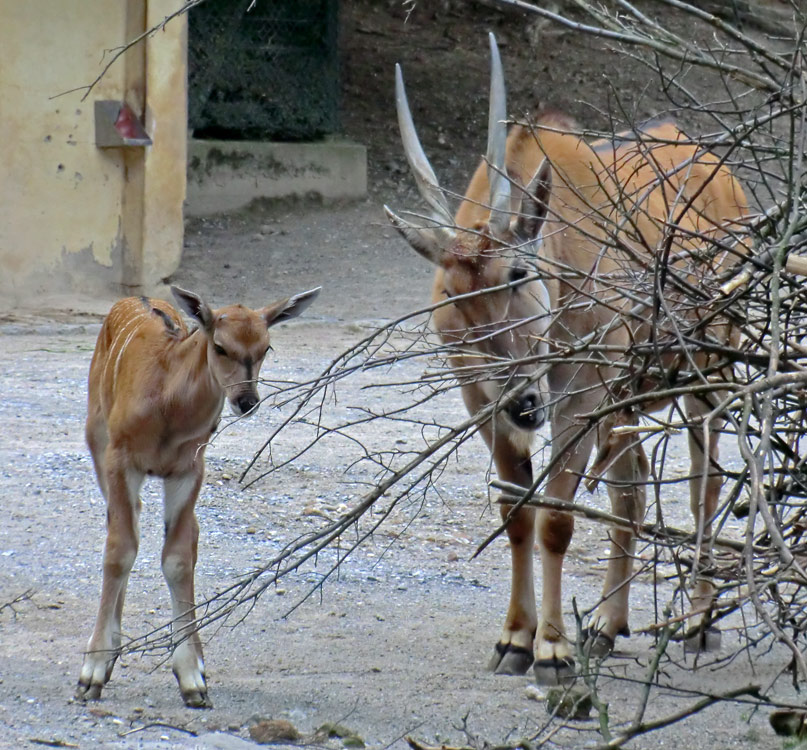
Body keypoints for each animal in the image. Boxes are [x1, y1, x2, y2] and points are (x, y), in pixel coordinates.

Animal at [77, 284, 320, 708]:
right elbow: (119, 552)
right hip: (97, 437)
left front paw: (192, 678)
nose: (247, 401)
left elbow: (177, 559)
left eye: (266, 347)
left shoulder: (190, 468)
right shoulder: (121, 458)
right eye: (219, 346)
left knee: (187, 535)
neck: (167, 410)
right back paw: (109, 658)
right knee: (121, 528)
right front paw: (90, 673)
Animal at [386, 33, 752, 680]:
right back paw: (607, 626)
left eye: (517, 272)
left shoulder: (578, 392)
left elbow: (555, 517)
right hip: (628, 397)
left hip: (707, 368)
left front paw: (551, 651)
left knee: (704, 482)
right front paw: (515, 639)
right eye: (452, 294)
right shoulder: (482, 401)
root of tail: (724, 176)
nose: (524, 401)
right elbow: (516, 513)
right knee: (633, 486)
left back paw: (697, 624)